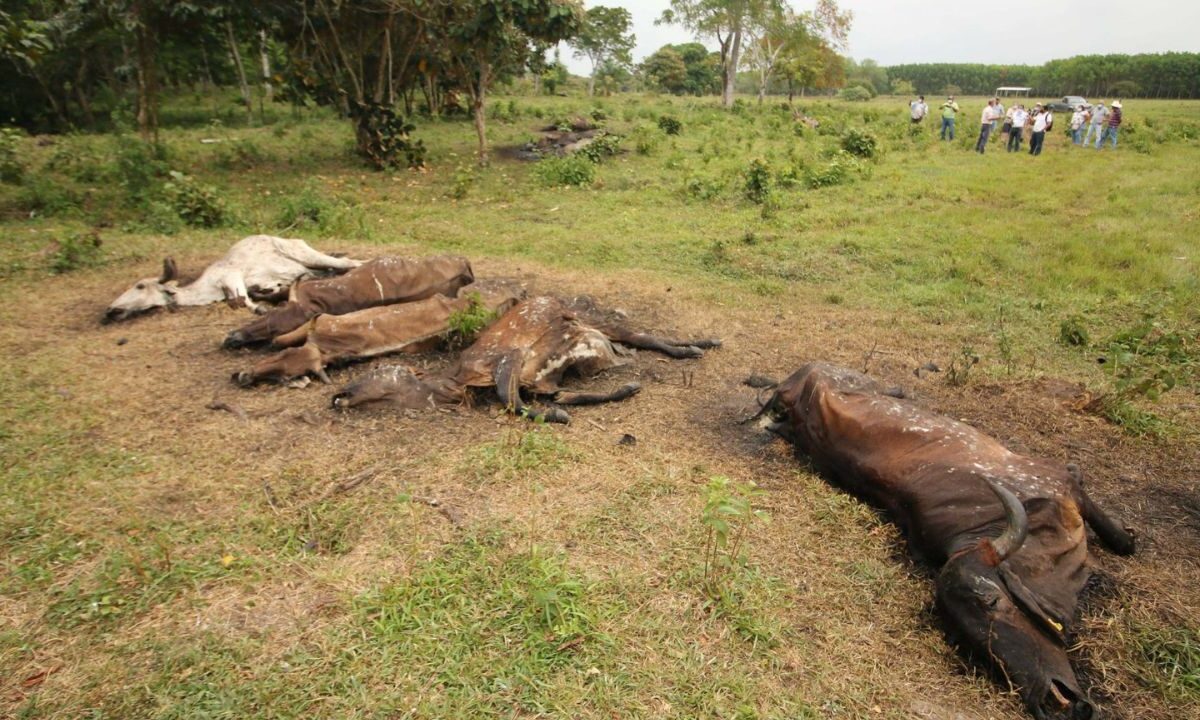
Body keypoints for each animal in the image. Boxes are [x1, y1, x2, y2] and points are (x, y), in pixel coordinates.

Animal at [103, 235, 357, 321]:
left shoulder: (231, 277)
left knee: (349, 263)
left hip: (306, 254)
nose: (110, 310)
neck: (208, 289)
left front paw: (261, 309)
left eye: (140, 286)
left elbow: (245, 301)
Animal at [328, 295, 720, 424]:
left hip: (589, 316)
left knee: (642, 335)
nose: (337, 394)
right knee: (636, 340)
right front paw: (624, 389)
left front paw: (557, 417)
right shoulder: (541, 381)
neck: (457, 385)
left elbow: (510, 400)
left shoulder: (507, 357)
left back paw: (700, 344)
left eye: (378, 369)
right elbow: (559, 396)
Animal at [753, 364, 1137, 720]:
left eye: (992, 599)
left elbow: (1120, 538)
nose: (1048, 703)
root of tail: (801, 377)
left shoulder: (1060, 482)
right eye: (966, 638)